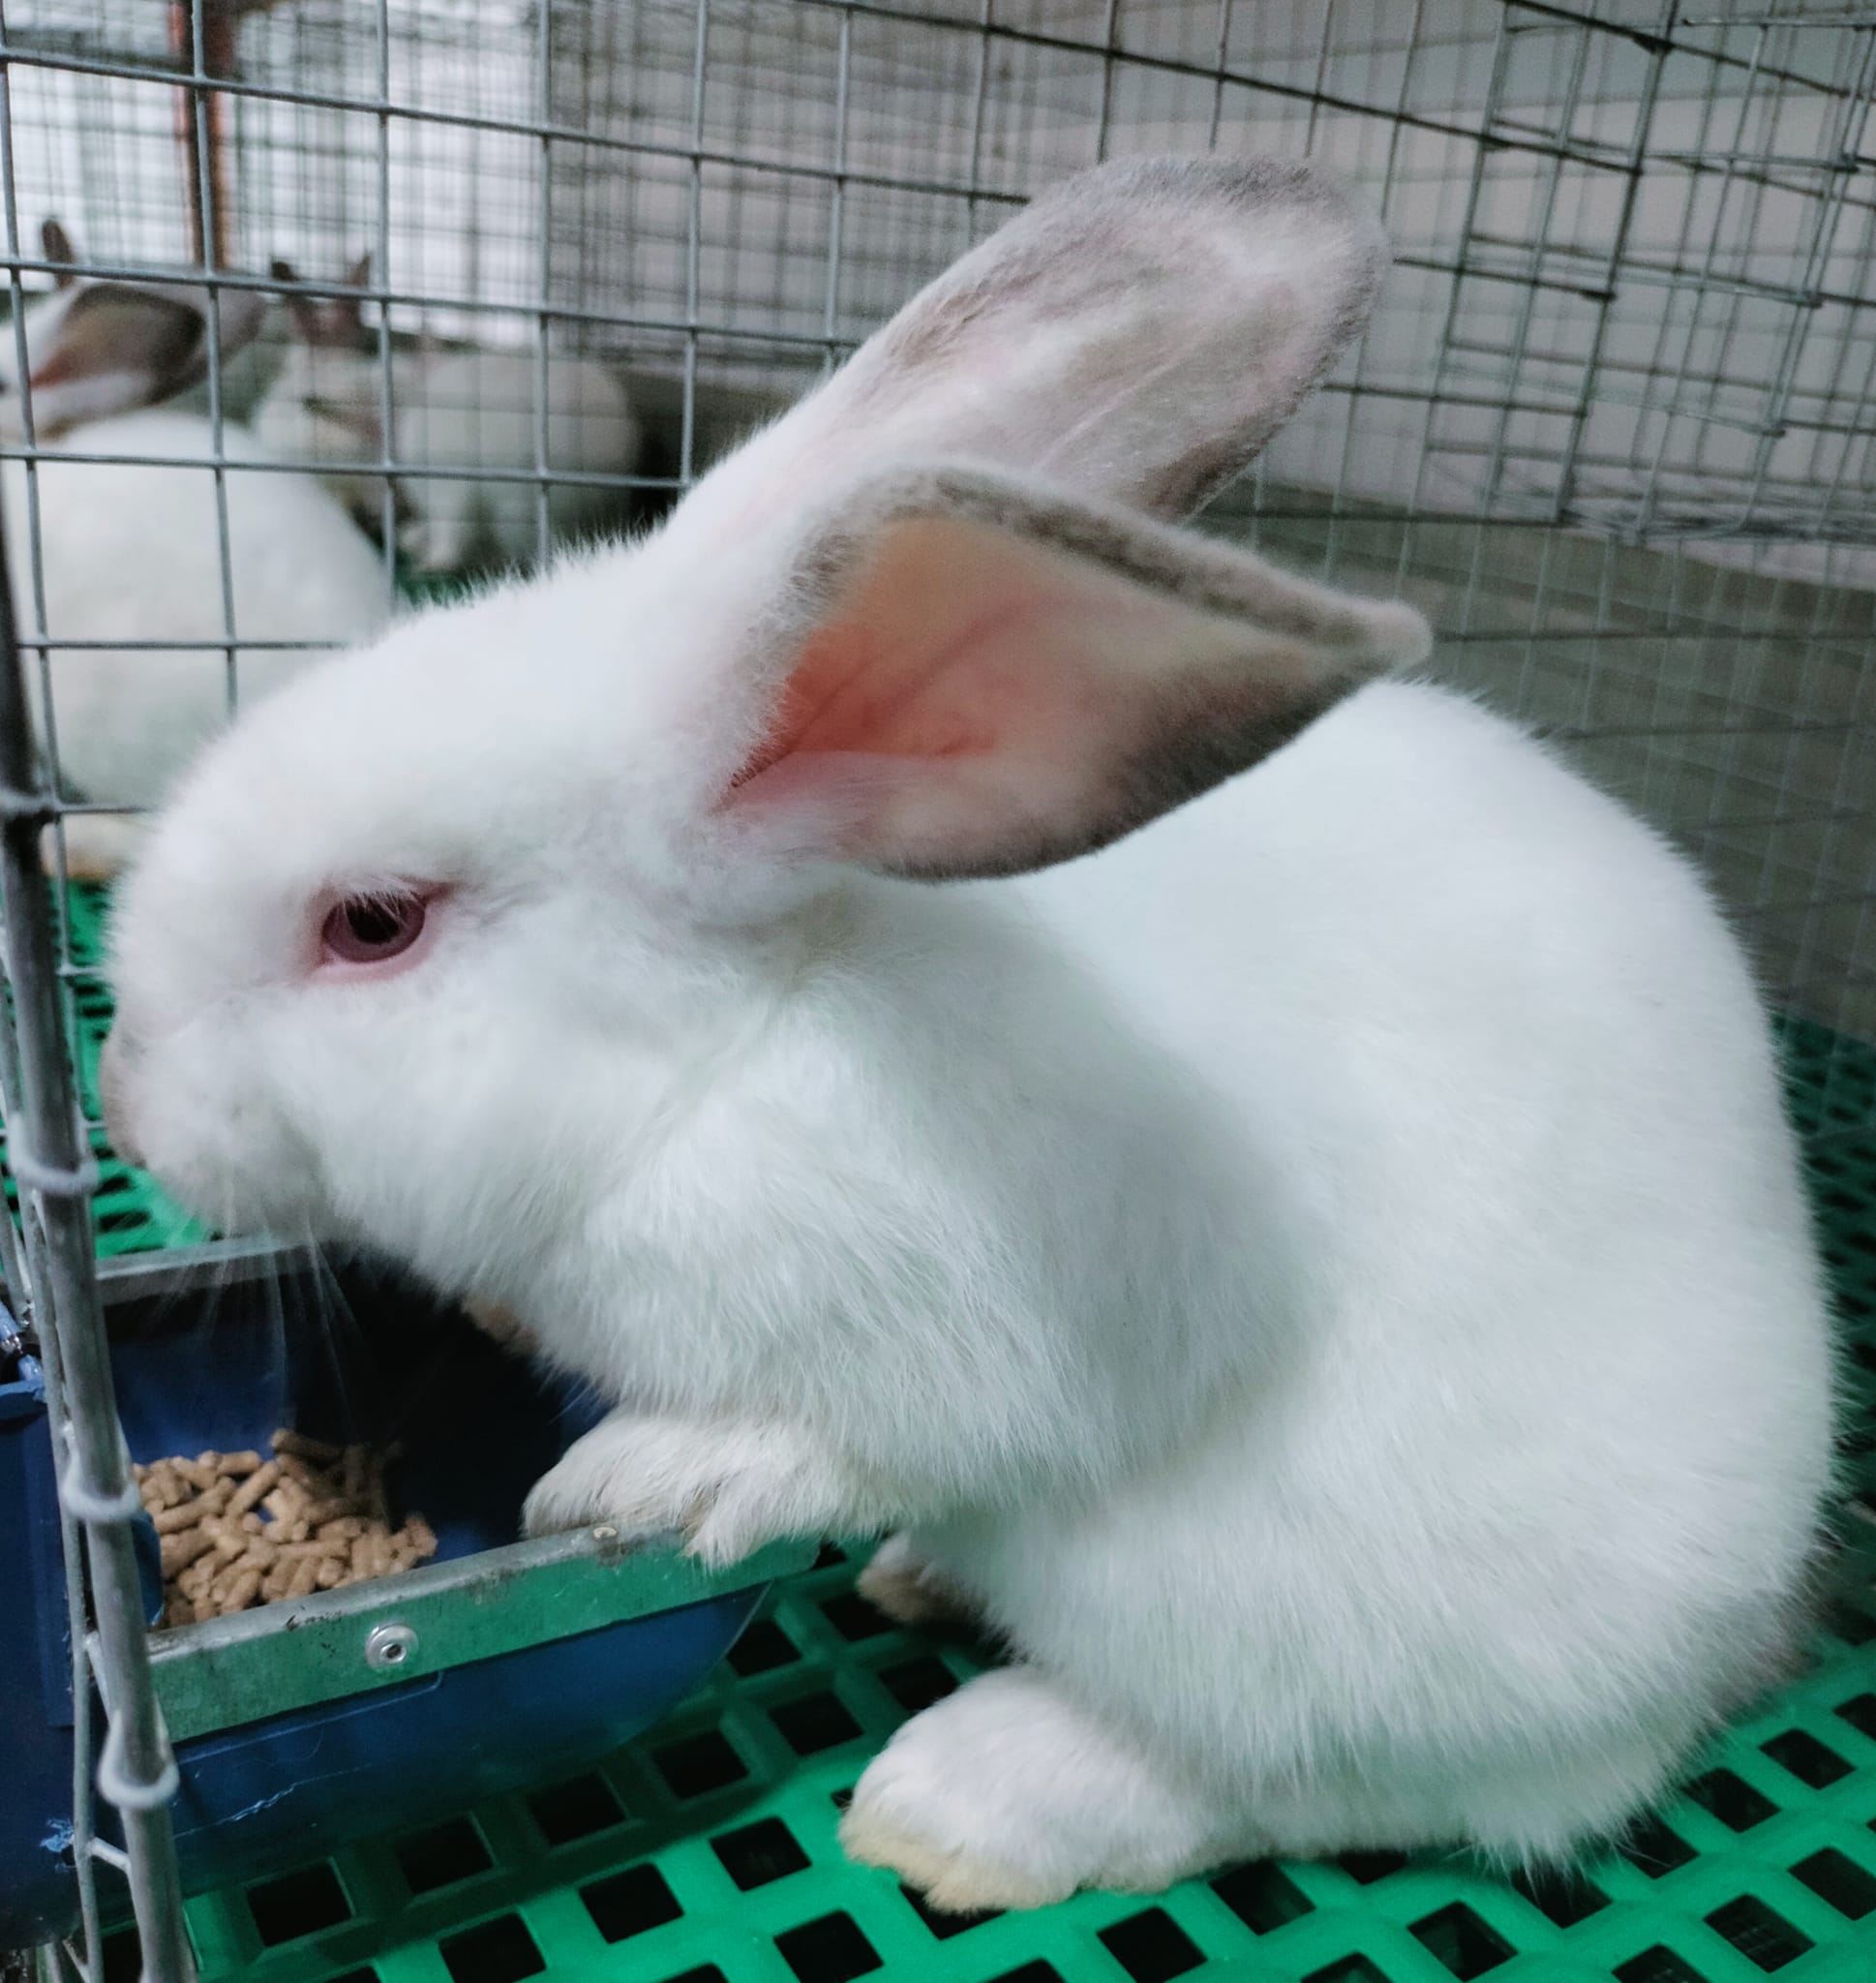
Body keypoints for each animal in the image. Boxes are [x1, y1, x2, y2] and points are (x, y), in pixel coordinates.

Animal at [254, 255, 642, 576]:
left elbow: (450, 537)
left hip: (513, 512)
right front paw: (412, 540)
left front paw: (426, 560)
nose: (306, 401)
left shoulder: (448, 493)